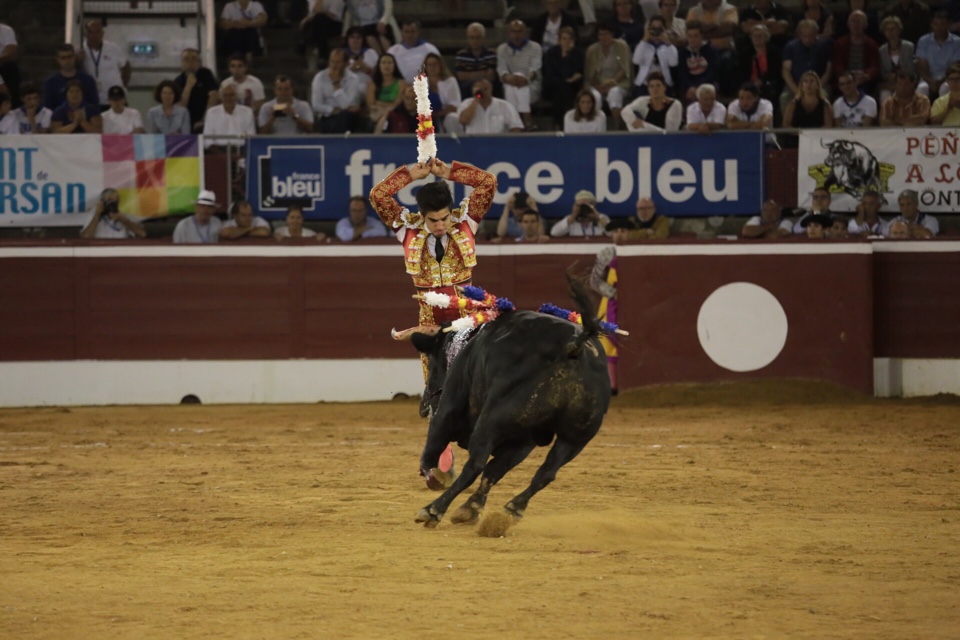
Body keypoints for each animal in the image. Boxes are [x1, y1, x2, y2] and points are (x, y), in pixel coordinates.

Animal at [408, 282, 612, 528]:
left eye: (431, 362)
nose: (423, 408)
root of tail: (573, 347)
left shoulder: (448, 410)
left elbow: (431, 452)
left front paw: (437, 481)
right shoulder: (523, 440)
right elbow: (495, 471)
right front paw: (471, 509)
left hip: (491, 421)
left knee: (475, 464)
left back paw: (433, 509)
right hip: (575, 438)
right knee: (546, 472)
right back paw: (512, 508)